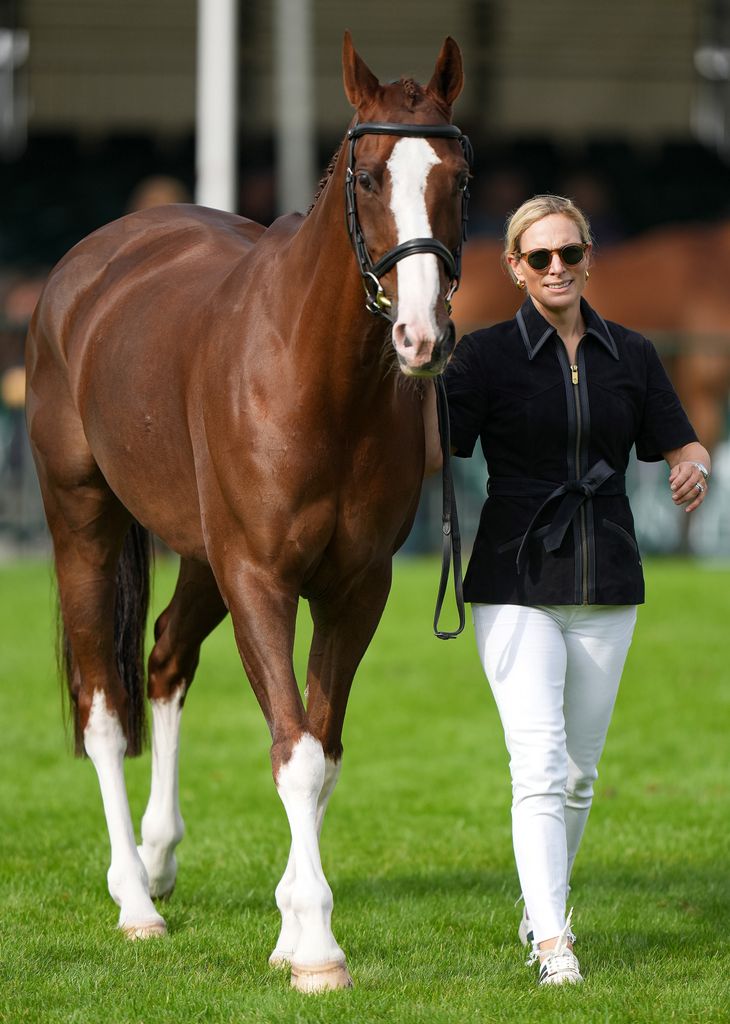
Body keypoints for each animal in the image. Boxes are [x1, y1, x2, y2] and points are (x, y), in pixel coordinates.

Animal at [25, 34, 468, 991]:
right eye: (367, 177)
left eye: (457, 176)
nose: (423, 338)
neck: (318, 381)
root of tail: (92, 261)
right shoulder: (261, 579)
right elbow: (293, 752)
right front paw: (317, 948)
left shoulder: (354, 589)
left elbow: (323, 750)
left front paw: (294, 926)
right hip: (84, 526)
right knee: (104, 707)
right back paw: (136, 900)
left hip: (201, 558)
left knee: (163, 657)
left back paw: (157, 856)